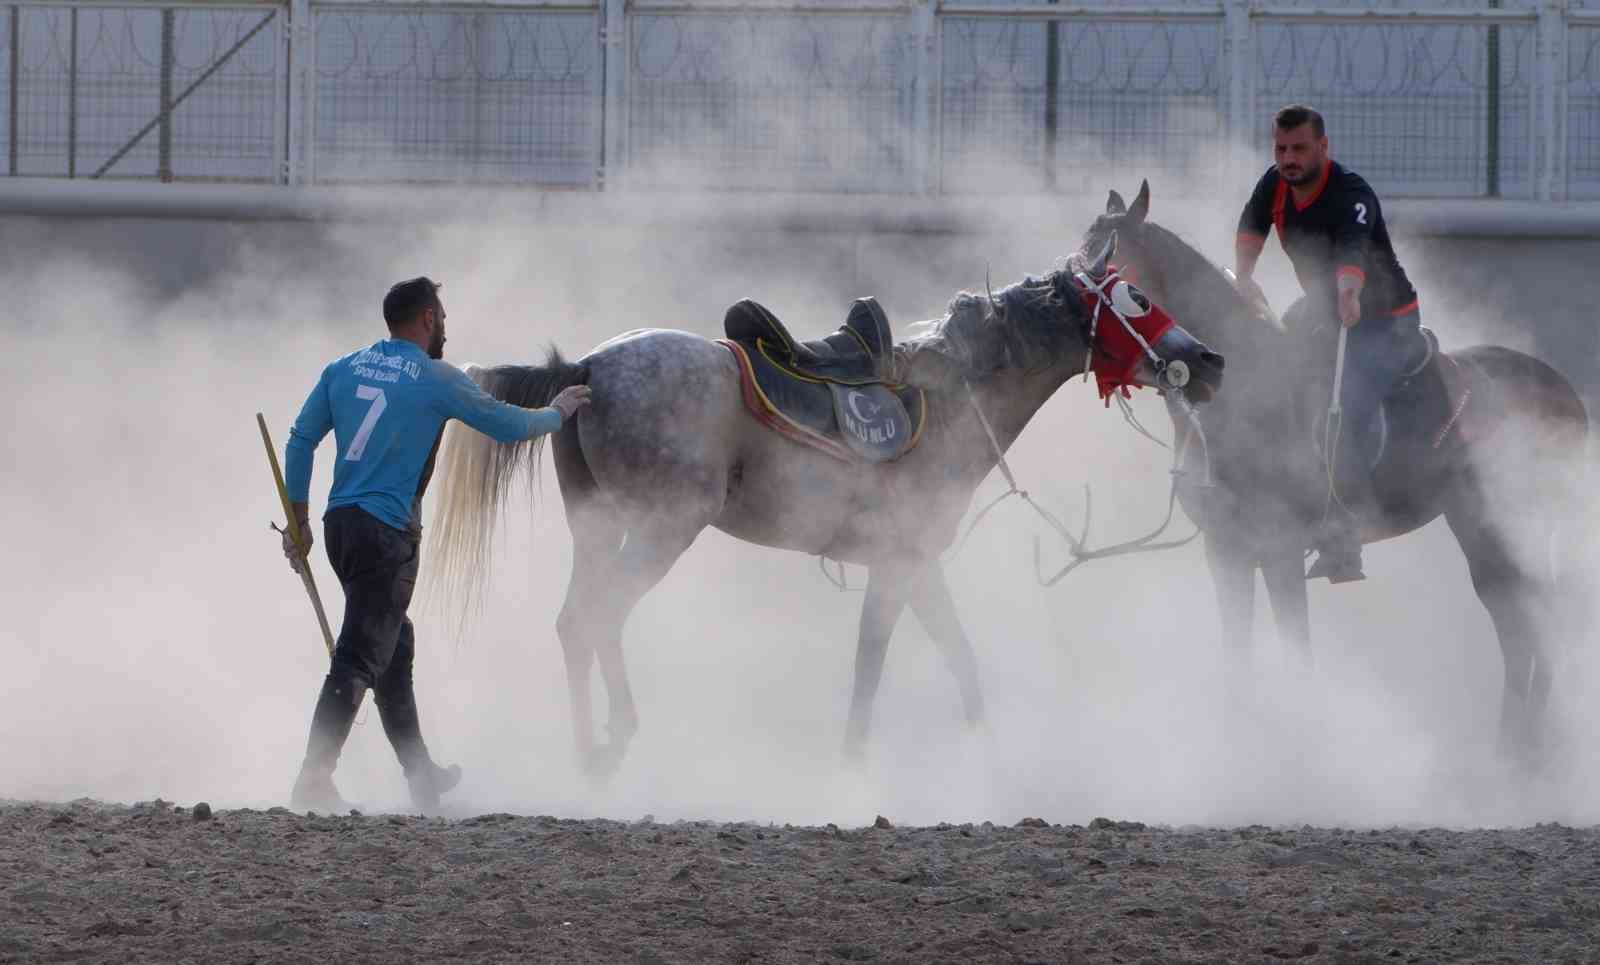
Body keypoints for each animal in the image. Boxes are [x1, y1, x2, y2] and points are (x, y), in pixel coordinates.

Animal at [425, 248, 1222, 777]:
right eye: (1135, 299)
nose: (1209, 360)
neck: (955, 393)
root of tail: (587, 368)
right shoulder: (898, 564)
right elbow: (873, 659)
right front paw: (855, 764)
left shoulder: (918, 562)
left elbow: (958, 655)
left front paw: (984, 750)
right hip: (660, 528)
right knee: (599, 617)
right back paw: (615, 737)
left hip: (598, 524)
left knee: (573, 623)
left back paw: (585, 752)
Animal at [1075, 179, 1587, 755]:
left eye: (1118, 275)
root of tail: (1562, 390)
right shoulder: (1225, 550)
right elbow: (1237, 654)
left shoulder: (1278, 550)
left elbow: (1296, 650)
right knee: (1523, 627)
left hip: (1500, 528)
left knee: (1529, 627)